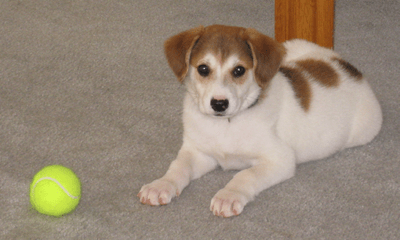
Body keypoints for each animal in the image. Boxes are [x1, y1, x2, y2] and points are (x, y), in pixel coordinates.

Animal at [138, 24, 382, 218]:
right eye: (203, 69)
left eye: (239, 70)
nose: (219, 104)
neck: (226, 124)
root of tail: (346, 66)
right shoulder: (198, 152)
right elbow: (179, 167)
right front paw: (161, 185)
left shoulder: (280, 159)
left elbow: (246, 175)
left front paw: (228, 195)